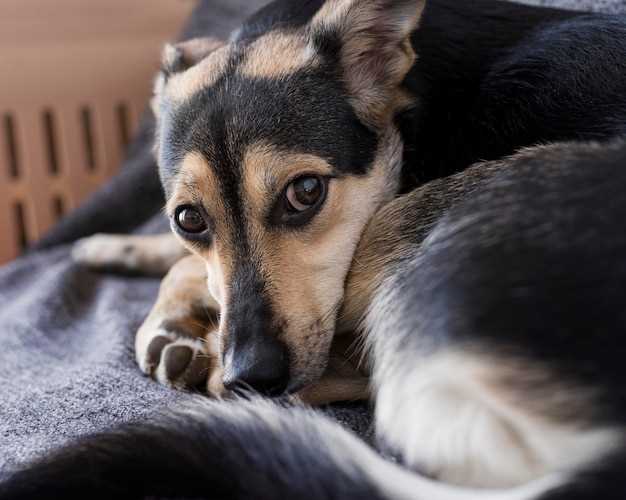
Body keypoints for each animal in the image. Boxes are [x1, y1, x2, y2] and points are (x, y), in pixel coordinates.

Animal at [3, 0, 624, 498]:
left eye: (305, 192)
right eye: (188, 218)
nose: (251, 375)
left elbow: (187, 273)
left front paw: (172, 322)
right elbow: (185, 261)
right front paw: (116, 249)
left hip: (415, 218)